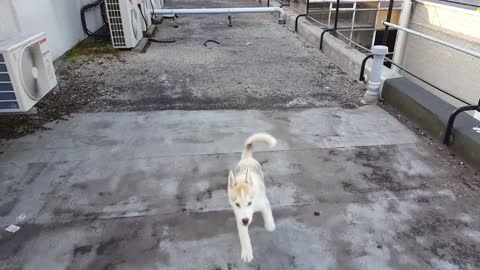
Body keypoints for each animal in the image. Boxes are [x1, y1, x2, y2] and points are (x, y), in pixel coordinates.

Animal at [229, 133, 278, 262]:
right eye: (237, 204)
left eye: (250, 203)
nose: (246, 221)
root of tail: (247, 158)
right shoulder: (239, 215)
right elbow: (243, 235)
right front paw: (247, 251)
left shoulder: (263, 202)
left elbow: (267, 214)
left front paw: (270, 226)